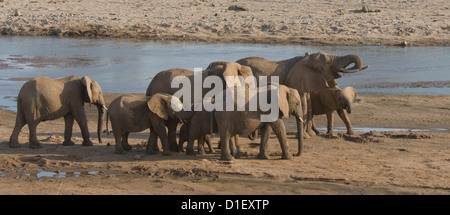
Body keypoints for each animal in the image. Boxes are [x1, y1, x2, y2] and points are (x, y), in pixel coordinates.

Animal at [237, 52, 368, 139]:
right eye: (327, 63)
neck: (305, 59)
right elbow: (303, 104)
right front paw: (306, 136)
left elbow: (308, 105)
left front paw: (310, 135)